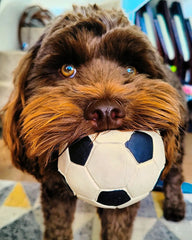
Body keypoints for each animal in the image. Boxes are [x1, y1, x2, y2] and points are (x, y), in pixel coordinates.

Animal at [1, 4, 187, 240]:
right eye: (67, 69)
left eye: (130, 69)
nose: (106, 110)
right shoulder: (55, 188)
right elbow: (58, 223)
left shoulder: (122, 198)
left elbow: (117, 228)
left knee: (174, 174)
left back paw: (175, 206)